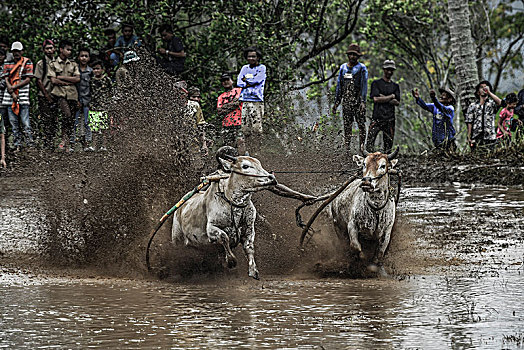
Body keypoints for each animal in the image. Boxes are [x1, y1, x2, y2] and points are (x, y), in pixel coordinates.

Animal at [330, 148, 400, 276]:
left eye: (383, 166)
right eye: (364, 164)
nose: (367, 181)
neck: (376, 209)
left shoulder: (387, 232)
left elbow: (379, 253)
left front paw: (374, 267)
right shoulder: (352, 225)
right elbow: (355, 246)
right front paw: (362, 259)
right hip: (338, 226)